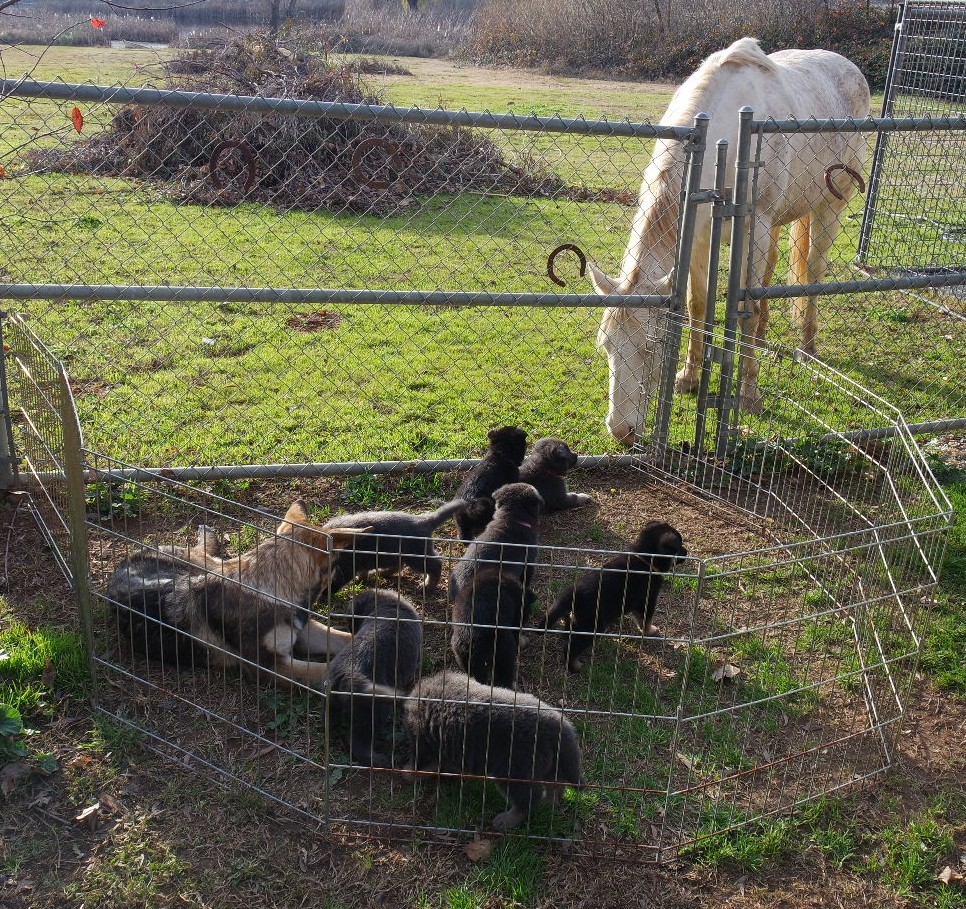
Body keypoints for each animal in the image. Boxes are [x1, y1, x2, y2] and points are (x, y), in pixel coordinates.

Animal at [108, 500, 370, 684]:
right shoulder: (271, 667)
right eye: (336, 564)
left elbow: (347, 639)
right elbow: (324, 669)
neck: (270, 585)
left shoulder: (305, 632)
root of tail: (124, 561)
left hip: (206, 564)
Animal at [400, 668, 584, 828]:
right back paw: (549, 803)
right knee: (555, 784)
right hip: (547, 762)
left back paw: (507, 820)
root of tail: (559, 724)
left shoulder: (423, 743)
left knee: (529, 798)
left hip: (513, 770)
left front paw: (407, 773)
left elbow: (420, 764)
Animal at [544, 516, 688, 672]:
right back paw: (575, 666)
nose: (687, 553)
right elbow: (646, 620)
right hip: (592, 625)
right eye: (679, 547)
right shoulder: (647, 600)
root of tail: (574, 591)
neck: (645, 559)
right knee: (571, 648)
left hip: (578, 620)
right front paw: (650, 631)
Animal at [588, 39, 876, 444]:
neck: (723, 144)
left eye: (650, 347)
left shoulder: (756, 226)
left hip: (828, 209)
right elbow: (697, 304)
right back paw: (767, 342)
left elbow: (747, 307)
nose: (621, 431)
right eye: (607, 345)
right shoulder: (698, 236)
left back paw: (807, 347)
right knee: (771, 275)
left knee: (813, 273)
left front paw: (750, 394)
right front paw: (689, 378)